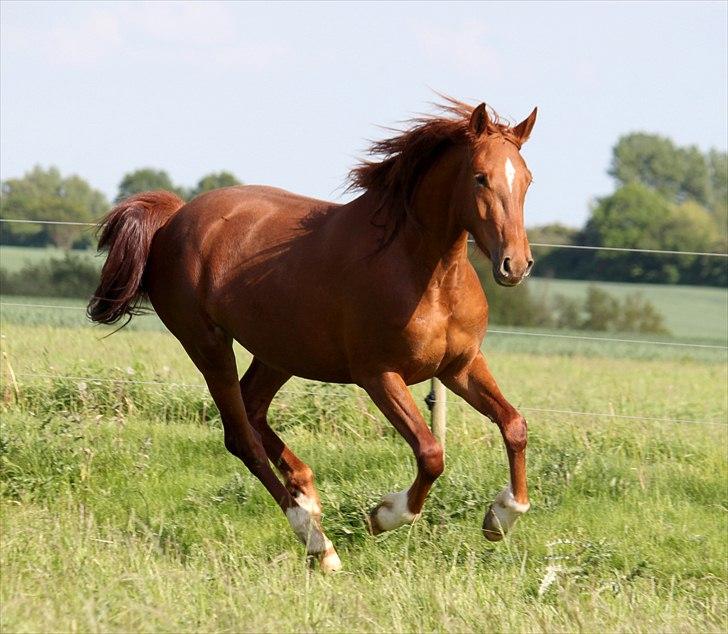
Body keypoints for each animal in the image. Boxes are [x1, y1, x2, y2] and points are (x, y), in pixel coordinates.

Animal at [88, 97, 536, 568]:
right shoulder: (379, 375)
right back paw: (318, 542)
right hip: (207, 344)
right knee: (241, 438)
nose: (515, 264)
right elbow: (431, 454)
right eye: (480, 177)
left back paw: (306, 492)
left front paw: (501, 517)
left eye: (527, 179)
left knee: (253, 408)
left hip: (280, 351)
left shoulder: (460, 366)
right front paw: (383, 515)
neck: (424, 272)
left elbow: (515, 425)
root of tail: (174, 217)